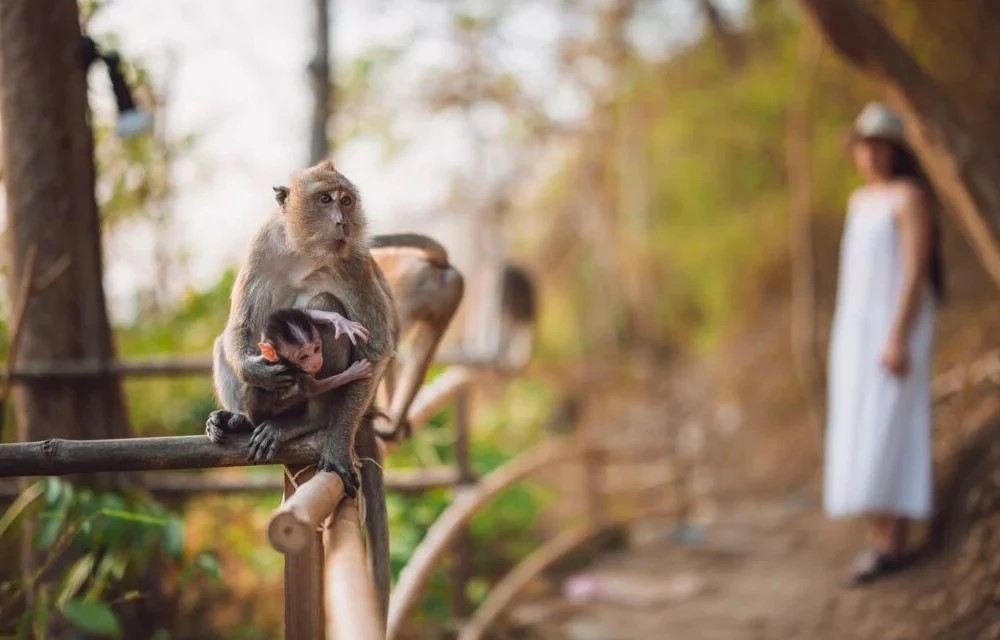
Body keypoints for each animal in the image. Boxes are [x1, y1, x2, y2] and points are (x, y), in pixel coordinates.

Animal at [206, 159, 395, 619]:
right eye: (325, 199)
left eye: (346, 200)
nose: (342, 221)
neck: (306, 252)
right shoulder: (263, 245)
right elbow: (238, 326)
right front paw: (255, 371)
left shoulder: (354, 262)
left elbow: (376, 347)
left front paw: (334, 445)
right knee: (230, 339)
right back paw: (240, 419)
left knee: (325, 304)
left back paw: (307, 424)